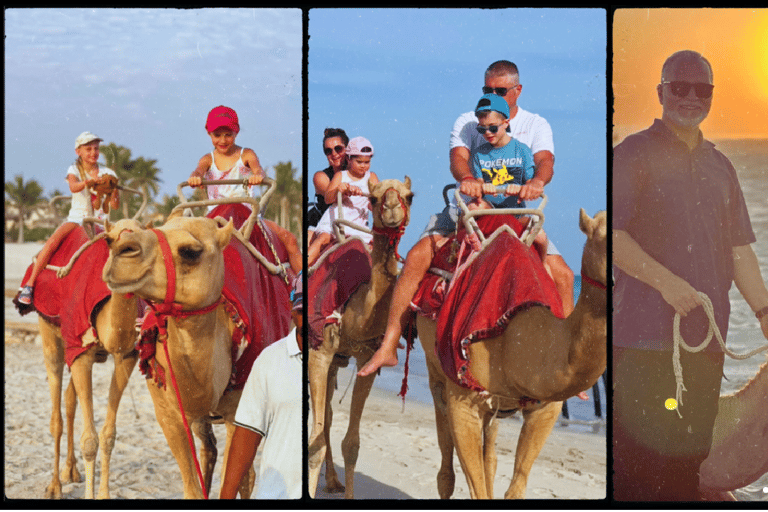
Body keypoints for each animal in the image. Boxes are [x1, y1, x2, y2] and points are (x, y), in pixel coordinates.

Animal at [101, 210, 292, 498]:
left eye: (190, 251)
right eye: (109, 239)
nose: (122, 251)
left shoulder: (240, 409)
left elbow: (233, 480)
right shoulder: (169, 414)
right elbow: (193, 487)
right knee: (210, 449)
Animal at [308, 178, 414, 498]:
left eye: (409, 196)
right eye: (374, 198)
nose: (391, 210)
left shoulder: (367, 357)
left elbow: (351, 444)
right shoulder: (319, 353)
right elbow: (315, 442)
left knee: (329, 415)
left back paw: (332, 481)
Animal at [414, 209, 608, 500]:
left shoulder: (546, 406)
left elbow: (515, 485)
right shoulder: (462, 400)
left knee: (490, 456)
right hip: (436, 370)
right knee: (445, 467)